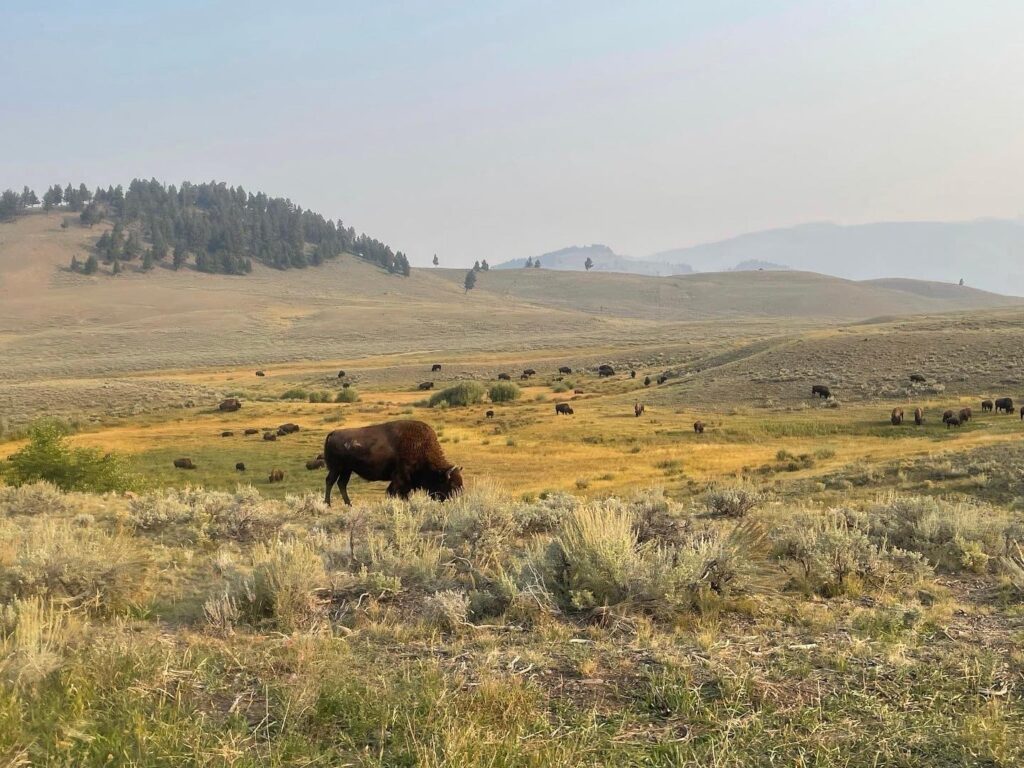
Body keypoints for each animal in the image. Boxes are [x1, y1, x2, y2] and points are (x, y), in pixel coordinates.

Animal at [321, 417, 462, 507]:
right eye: (452, 485)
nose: (456, 501)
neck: (422, 447)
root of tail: (333, 433)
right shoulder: (401, 477)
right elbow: (395, 492)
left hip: (347, 470)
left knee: (341, 484)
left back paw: (349, 504)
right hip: (337, 468)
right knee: (330, 481)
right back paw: (328, 504)